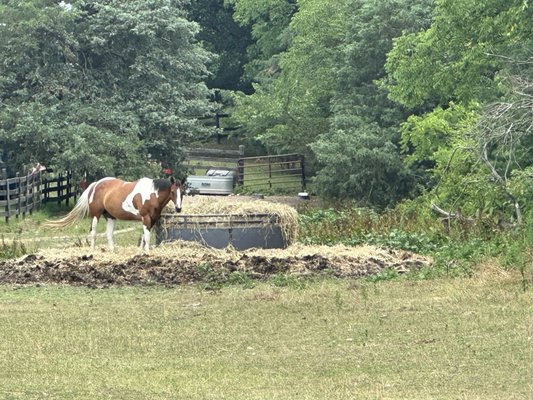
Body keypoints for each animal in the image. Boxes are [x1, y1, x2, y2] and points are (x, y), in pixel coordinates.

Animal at [46, 177, 183, 250]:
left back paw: (112, 251)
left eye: (183, 191)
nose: (178, 209)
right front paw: (147, 252)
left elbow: (144, 237)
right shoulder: (146, 218)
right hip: (95, 215)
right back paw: (92, 250)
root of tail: (95, 184)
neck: (152, 194)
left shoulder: (152, 220)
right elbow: (147, 237)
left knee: (109, 234)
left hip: (110, 217)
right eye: (172, 191)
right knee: (93, 233)